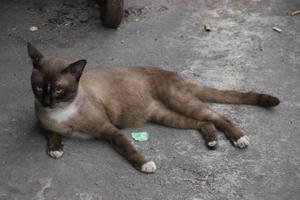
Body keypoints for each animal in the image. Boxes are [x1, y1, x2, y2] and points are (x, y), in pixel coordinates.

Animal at [27, 42, 280, 173]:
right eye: (39, 88)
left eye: (58, 90)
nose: (46, 102)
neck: (61, 113)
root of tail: (176, 74)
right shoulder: (44, 126)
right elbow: (52, 135)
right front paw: (56, 149)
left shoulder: (107, 129)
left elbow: (127, 148)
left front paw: (145, 164)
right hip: (166, 116)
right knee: (204, 122)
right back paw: (212, 142)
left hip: (181, 103)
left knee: (219, 117)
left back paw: (239, 139)